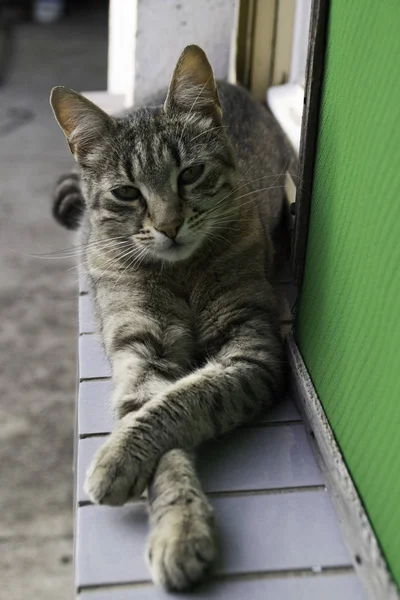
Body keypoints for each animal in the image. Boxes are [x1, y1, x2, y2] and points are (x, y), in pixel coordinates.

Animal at [50, 45, 288, 592]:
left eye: (190, 174)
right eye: (127, 193)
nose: (170, 225)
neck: (181, 273)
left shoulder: (251, 346)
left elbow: (185, 398)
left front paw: (116, 458)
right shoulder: (142, 351)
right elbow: (155, 424)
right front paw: (180, 526)